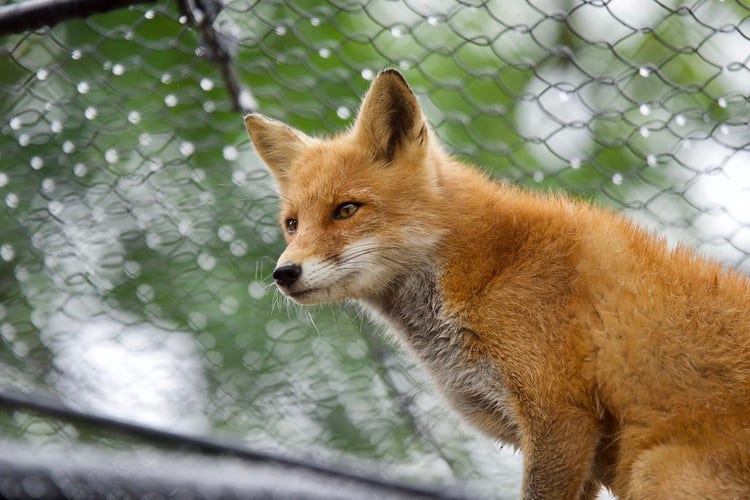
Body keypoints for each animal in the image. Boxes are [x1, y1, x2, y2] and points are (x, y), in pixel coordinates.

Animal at [243, 69, 750, 499]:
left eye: (346, 210)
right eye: (292, 224)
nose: (284, 273)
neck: (487, 269)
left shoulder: (559, 416)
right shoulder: (573, 447)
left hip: (655, 469)